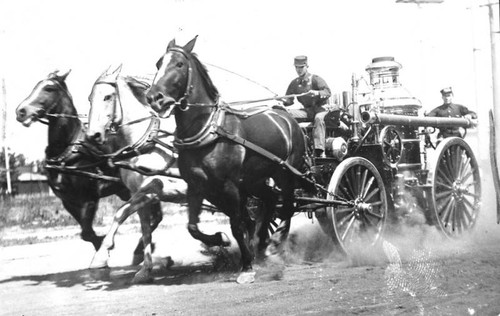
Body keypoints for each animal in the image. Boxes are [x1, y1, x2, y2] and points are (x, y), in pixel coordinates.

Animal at [16, 70, 131, 251]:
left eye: (49, 88)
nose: (21, 111)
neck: (67, 152)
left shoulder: (90, 200)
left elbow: (88, 233)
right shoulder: (68, 201)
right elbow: (87, 234)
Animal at [85, 66, 196, 284]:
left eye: (108, 96)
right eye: (90, 98)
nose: (93, 135)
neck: (147, 144)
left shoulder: (154, 188)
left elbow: (120, 213)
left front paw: (101, 255)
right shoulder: (140, 194)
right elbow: (144, 228)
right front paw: (145, 269)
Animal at [146, 37, 314, 284]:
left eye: (179, 64)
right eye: (158, 64)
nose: (153, 98)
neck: (209, 130)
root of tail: (288, 119)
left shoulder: (229, 185)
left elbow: (237, 224)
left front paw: (246, 267)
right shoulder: (197, 186)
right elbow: (192, 227)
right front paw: (221, 239)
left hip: (285, 172)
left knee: (288, 204)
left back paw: (275, 242)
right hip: (254, 180)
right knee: (271, 200)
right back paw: (262, 244)